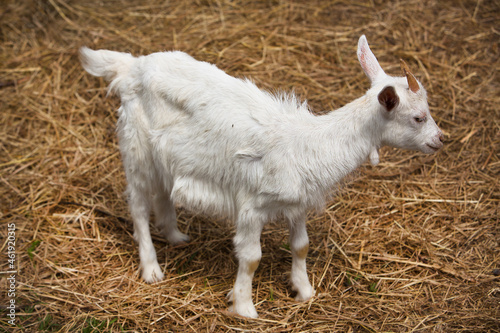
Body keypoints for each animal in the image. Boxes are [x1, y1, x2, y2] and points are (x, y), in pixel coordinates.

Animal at [80, 35, 444, 316]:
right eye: (418, 117)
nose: (441, 139)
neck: (307, 143)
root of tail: (132, 66)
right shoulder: (252, 206)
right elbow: (252, 257)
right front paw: (243, 307)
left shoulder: (297, 203)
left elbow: (301, 246)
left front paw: (304, 291)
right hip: (136, 148)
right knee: (139, 206)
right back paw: (152, 269)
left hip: (166, 159)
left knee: (163, 193)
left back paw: (175, 235)